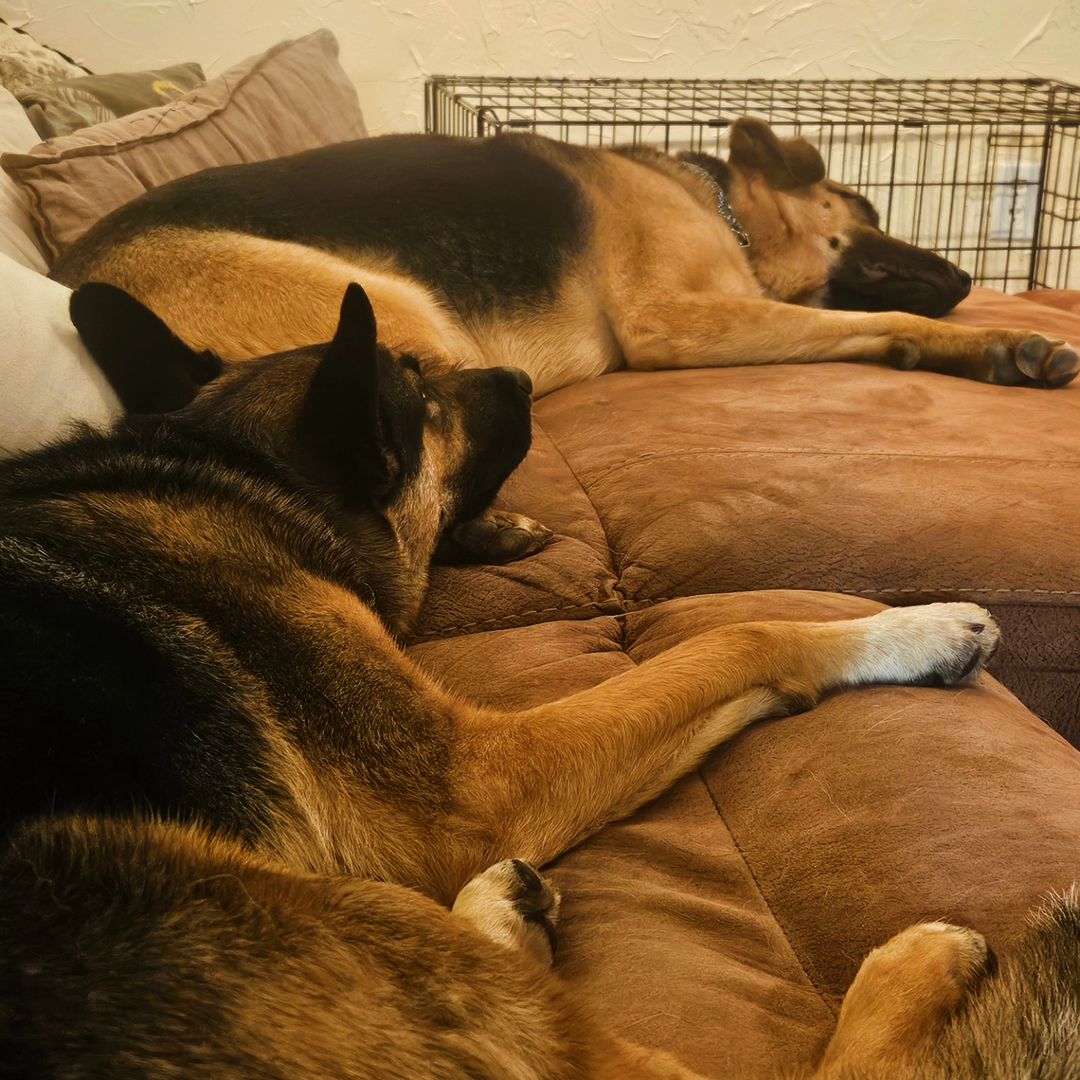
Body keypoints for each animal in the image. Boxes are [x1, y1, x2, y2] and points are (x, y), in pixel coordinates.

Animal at [4, 282, 1075, 1075]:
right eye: (419, 386)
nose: (524, 369)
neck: (234, 466)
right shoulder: (474, 782)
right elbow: (737, 639)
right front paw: (913, 627)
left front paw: (497, 532)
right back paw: (919, 961)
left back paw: (504, 918)